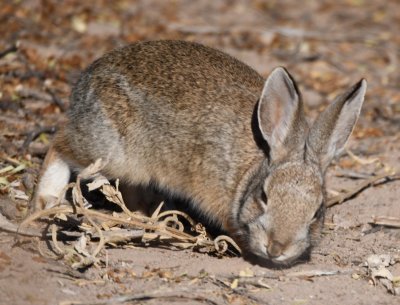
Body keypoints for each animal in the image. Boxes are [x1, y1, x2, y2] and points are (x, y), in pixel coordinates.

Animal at [33, 39, 366, 264]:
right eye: (263, 197)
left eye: (317, 212)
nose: (276, 248)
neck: (249, 170)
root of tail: (87, 79)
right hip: (111, 152)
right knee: (59, 144)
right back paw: (46, 200)